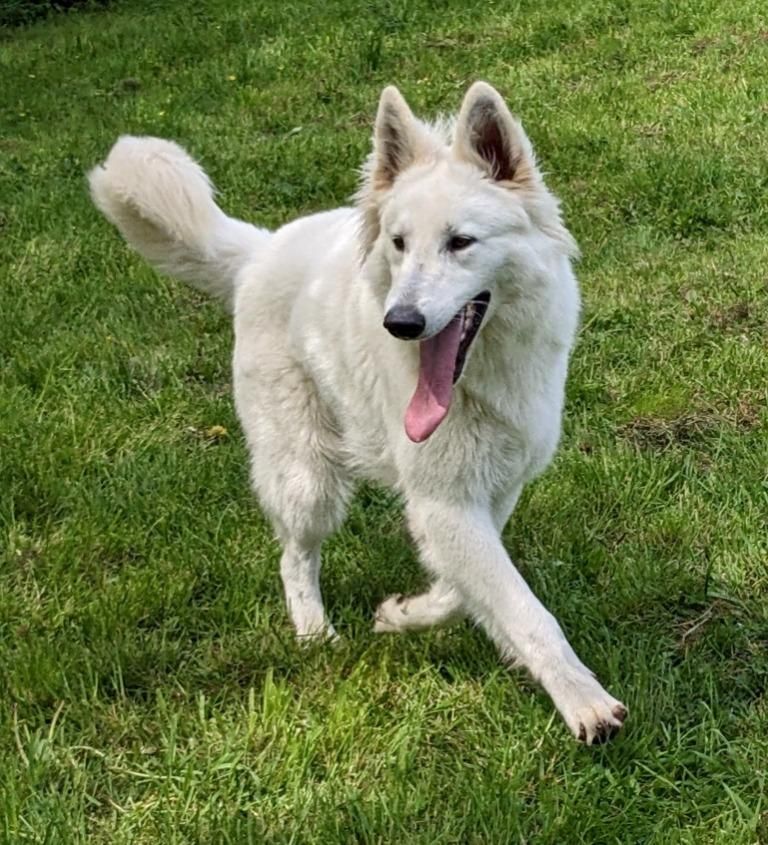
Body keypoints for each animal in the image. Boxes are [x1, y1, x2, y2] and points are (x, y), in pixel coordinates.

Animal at [90, 79, 628, 740]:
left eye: (461, 242)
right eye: (399, 244)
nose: (401, 323)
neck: (480, 376)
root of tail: (260, 252)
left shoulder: (487, 492)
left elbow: (468, 587)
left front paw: (405, 614)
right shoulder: (444, 501)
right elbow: (526, 609)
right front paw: (584, 702)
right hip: (308, 481)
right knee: (293, 559)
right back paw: (315, 634)